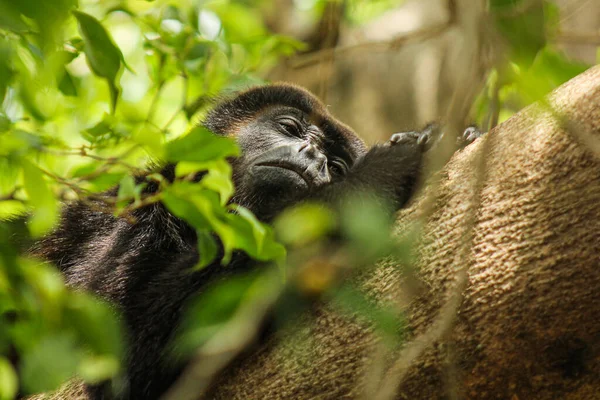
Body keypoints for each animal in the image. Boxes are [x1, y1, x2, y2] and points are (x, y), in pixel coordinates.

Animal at [31, 83, 482, 398]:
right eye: (290, 128)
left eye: (335, 165)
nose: (315, 158)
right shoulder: (141, 211)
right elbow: (118, 354)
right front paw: (385, 170)